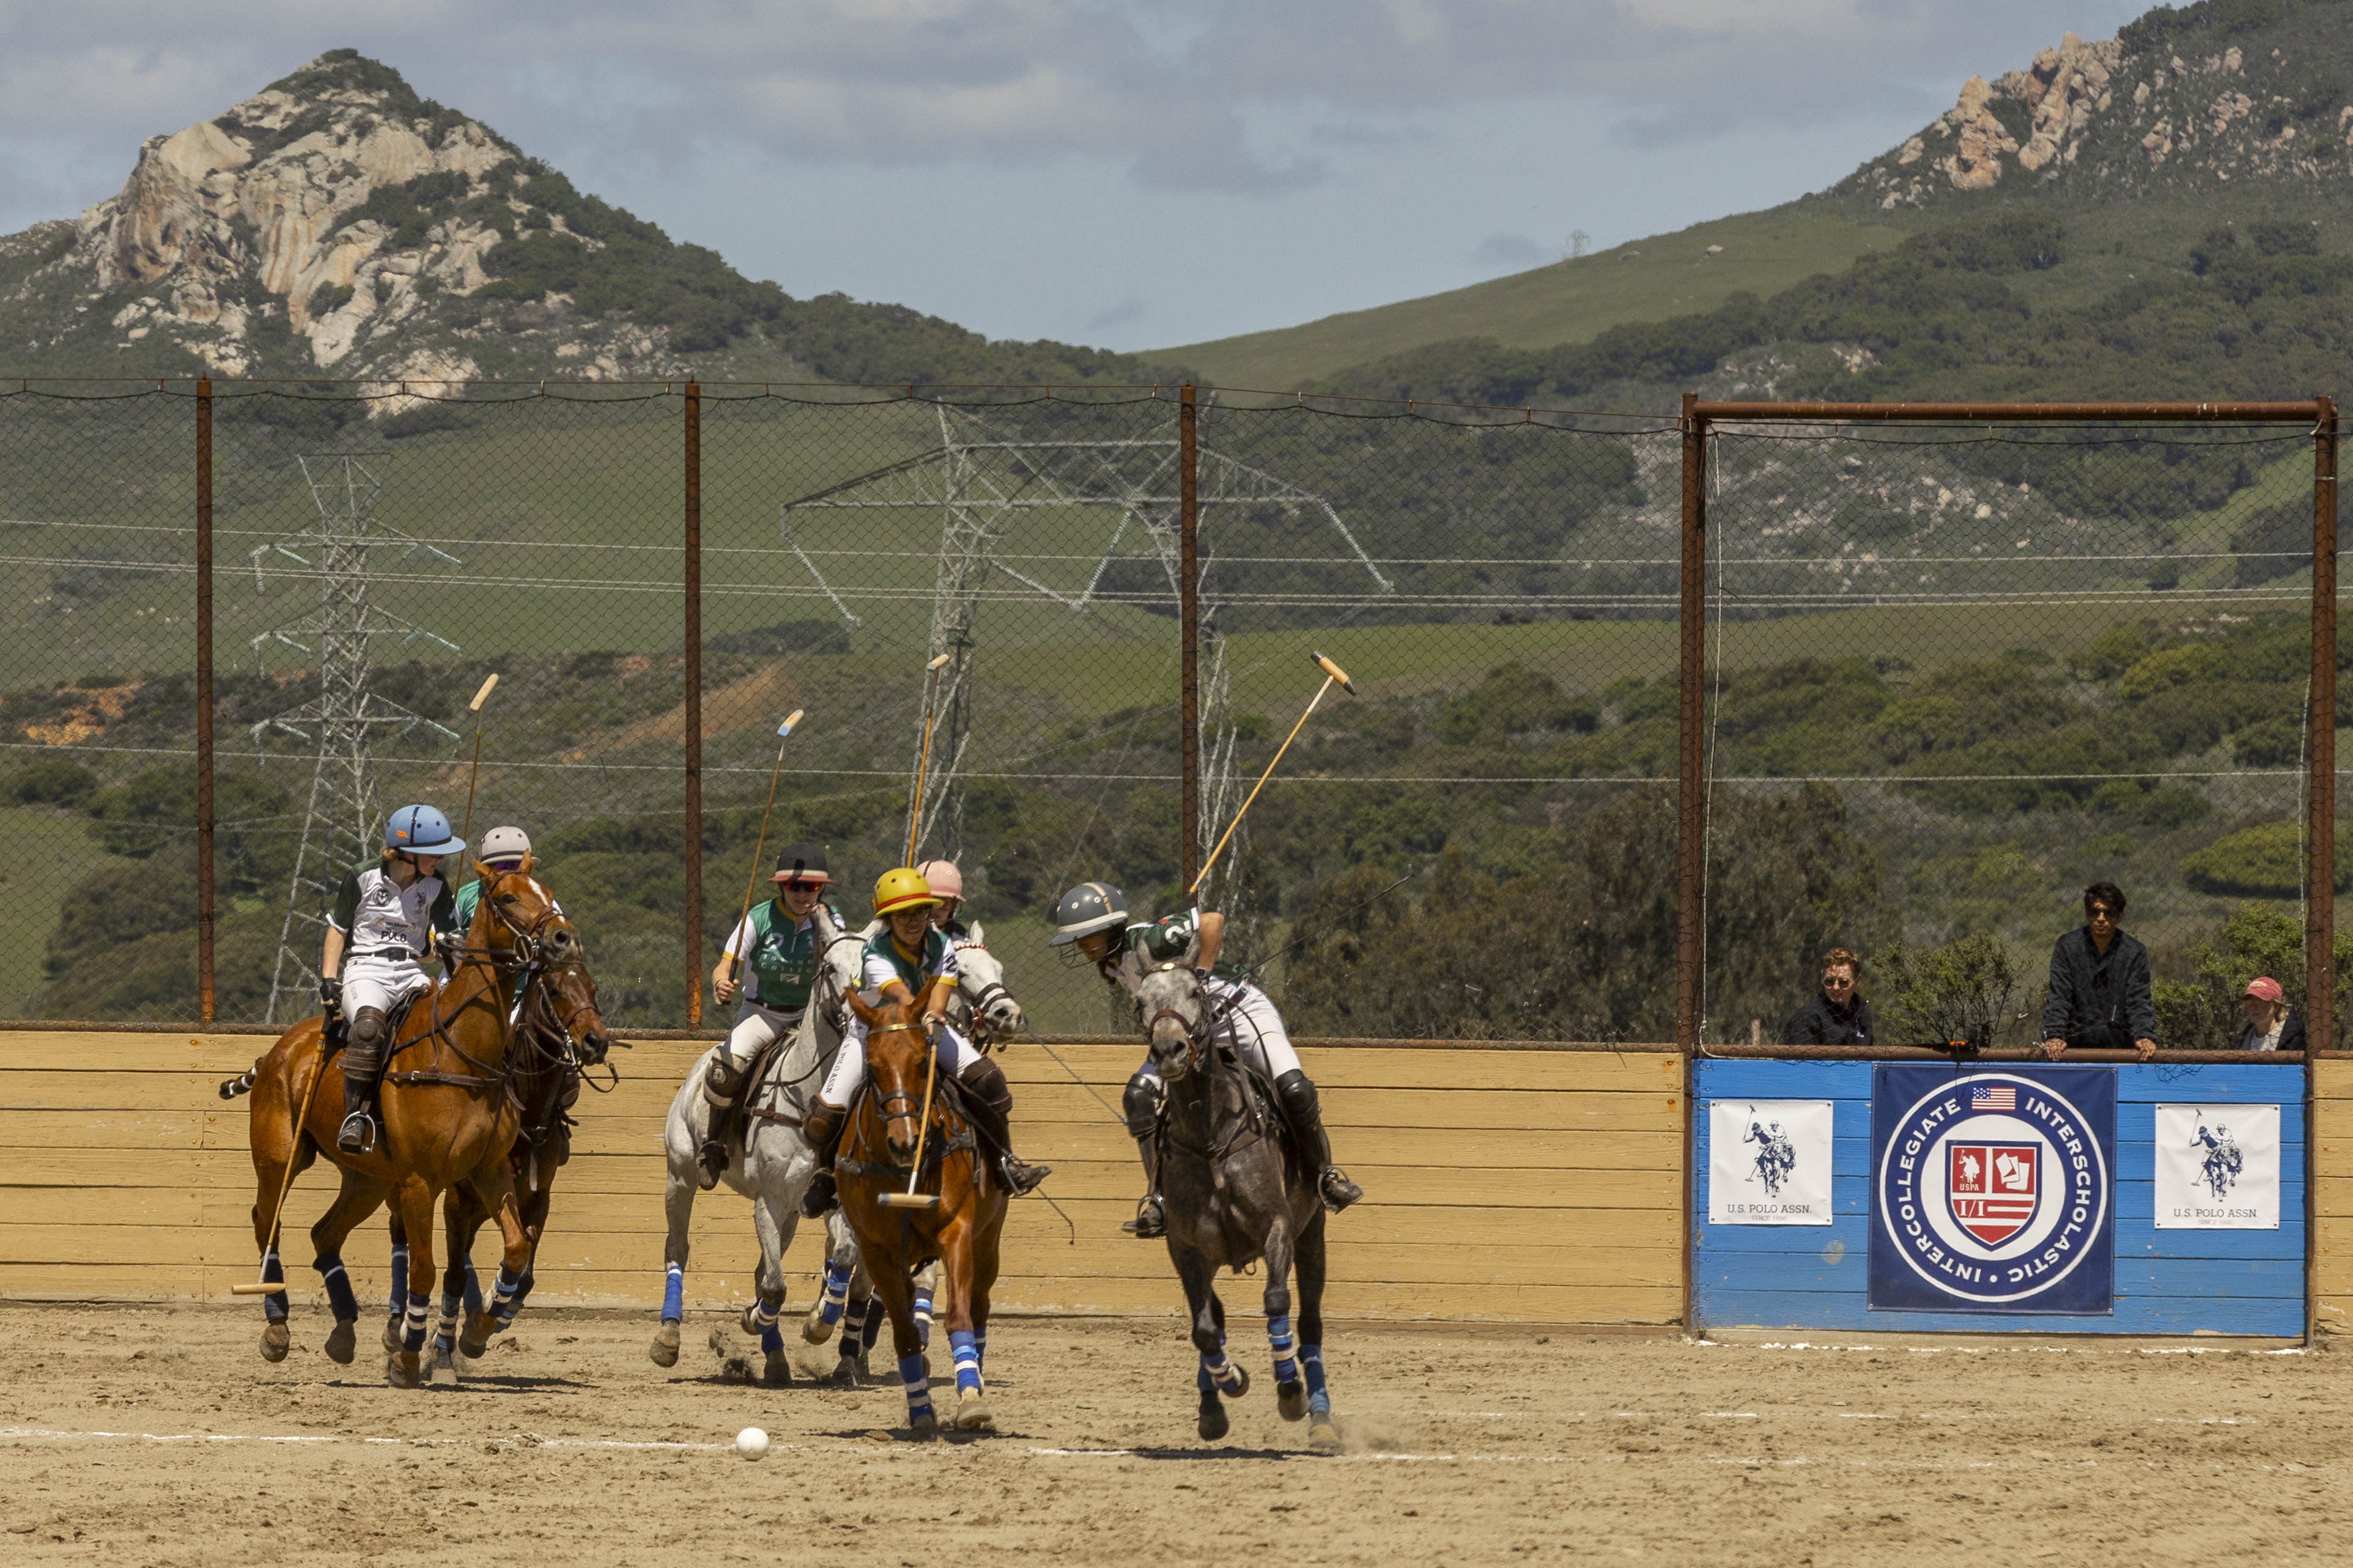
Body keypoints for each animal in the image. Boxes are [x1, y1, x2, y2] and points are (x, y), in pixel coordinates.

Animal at [237, 865, 588, 1391]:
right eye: (507, 897)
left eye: (547, 892)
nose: (563, 937)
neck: (465, 1053)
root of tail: (278, 1049)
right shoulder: (423, 1182)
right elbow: (425, 1269)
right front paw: (407, 1356)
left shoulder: (489, 1173)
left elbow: (515, 1248)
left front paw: (478, 1330)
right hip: (280, 1155)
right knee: (267, 1220)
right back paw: (277, 1328)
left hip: (367, 1178)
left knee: (324, 1232)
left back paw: (344, 1332)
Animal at [833, 987, 1007, 1438]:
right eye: (872, 1068)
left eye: (921, 1063)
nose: (905, 1142)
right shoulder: (878, 1252)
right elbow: (906, 1334)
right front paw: (921, 1412)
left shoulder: (955, 1231)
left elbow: (959, 1318)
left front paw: (971, 1401)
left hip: (988, 1240)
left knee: (979, 1307)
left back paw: (977, 1378)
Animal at [1110, 944, 1336, 1448]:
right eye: (1140, 1002)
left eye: (1195, 992)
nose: (1169, 1050)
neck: (1210, 1135)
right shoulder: (1186, 1248)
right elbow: (1205, 1329)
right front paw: (1229, 1382)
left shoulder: (1278, 1227)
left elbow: (1276, 1301)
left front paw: (1288, 1392)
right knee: (1212, 1315)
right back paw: (1212, 1402)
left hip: (1312, 1232)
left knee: (1310, 1321)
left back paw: (1321, 1419)